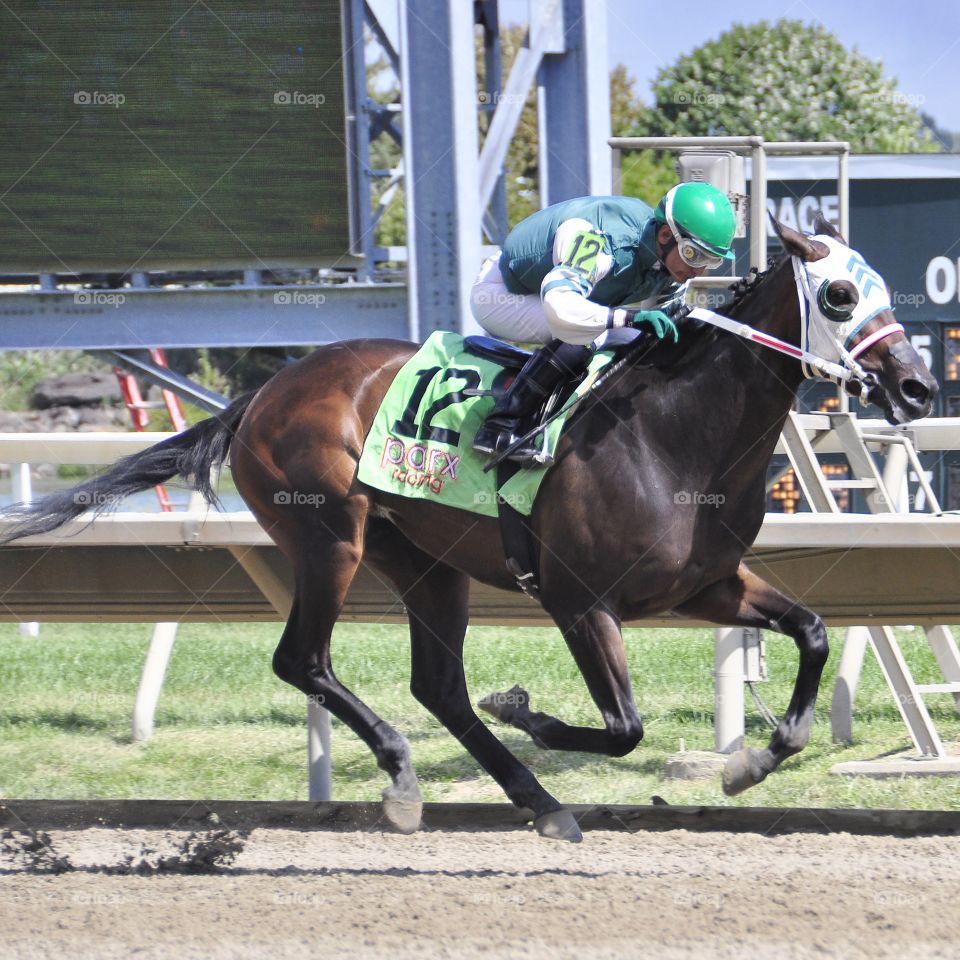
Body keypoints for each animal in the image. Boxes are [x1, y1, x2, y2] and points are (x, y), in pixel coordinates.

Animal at [0, 218, 928, 840]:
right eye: (841, 294)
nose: (917, 385)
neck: (674, 436)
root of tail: (263, 391)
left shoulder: (702, 586)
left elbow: (811, 631)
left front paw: (754, 761)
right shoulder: (577, 600)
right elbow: (623, 728)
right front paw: (528, 710)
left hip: (426, 563)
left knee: (436, 685)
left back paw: (540, 803)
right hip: (329, 538)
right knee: (304, 660)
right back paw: (407, 774)